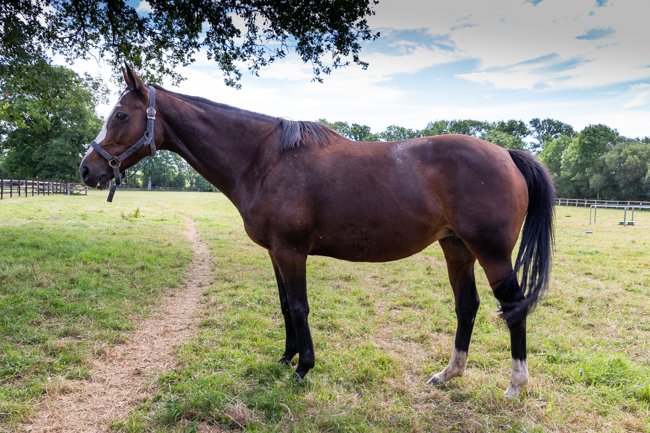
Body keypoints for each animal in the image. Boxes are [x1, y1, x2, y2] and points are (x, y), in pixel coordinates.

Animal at [80, 64, 554, 397]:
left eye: (120, 114)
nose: (88, 169)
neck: (264, 159)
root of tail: (507, 154)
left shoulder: (291, 250)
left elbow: (300, 306)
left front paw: (303, 367)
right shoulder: (275, 251)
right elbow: (285, 305)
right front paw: (286, 357)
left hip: (491, 253)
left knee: (513, 308)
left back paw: (515, 386)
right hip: (457, 248)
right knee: (467, 306)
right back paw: (449, 373)